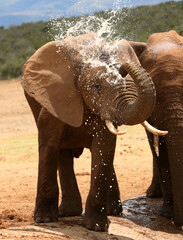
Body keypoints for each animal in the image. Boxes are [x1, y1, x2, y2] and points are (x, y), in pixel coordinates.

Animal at [20, 31, 165, 231]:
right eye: (97, 87)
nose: (122, 65)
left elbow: (104, 148)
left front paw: (97, 227)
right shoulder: (53, 102)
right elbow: (49, 146)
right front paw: (44, 220)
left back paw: (111, 212)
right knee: (62, 154)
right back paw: (67, 213)